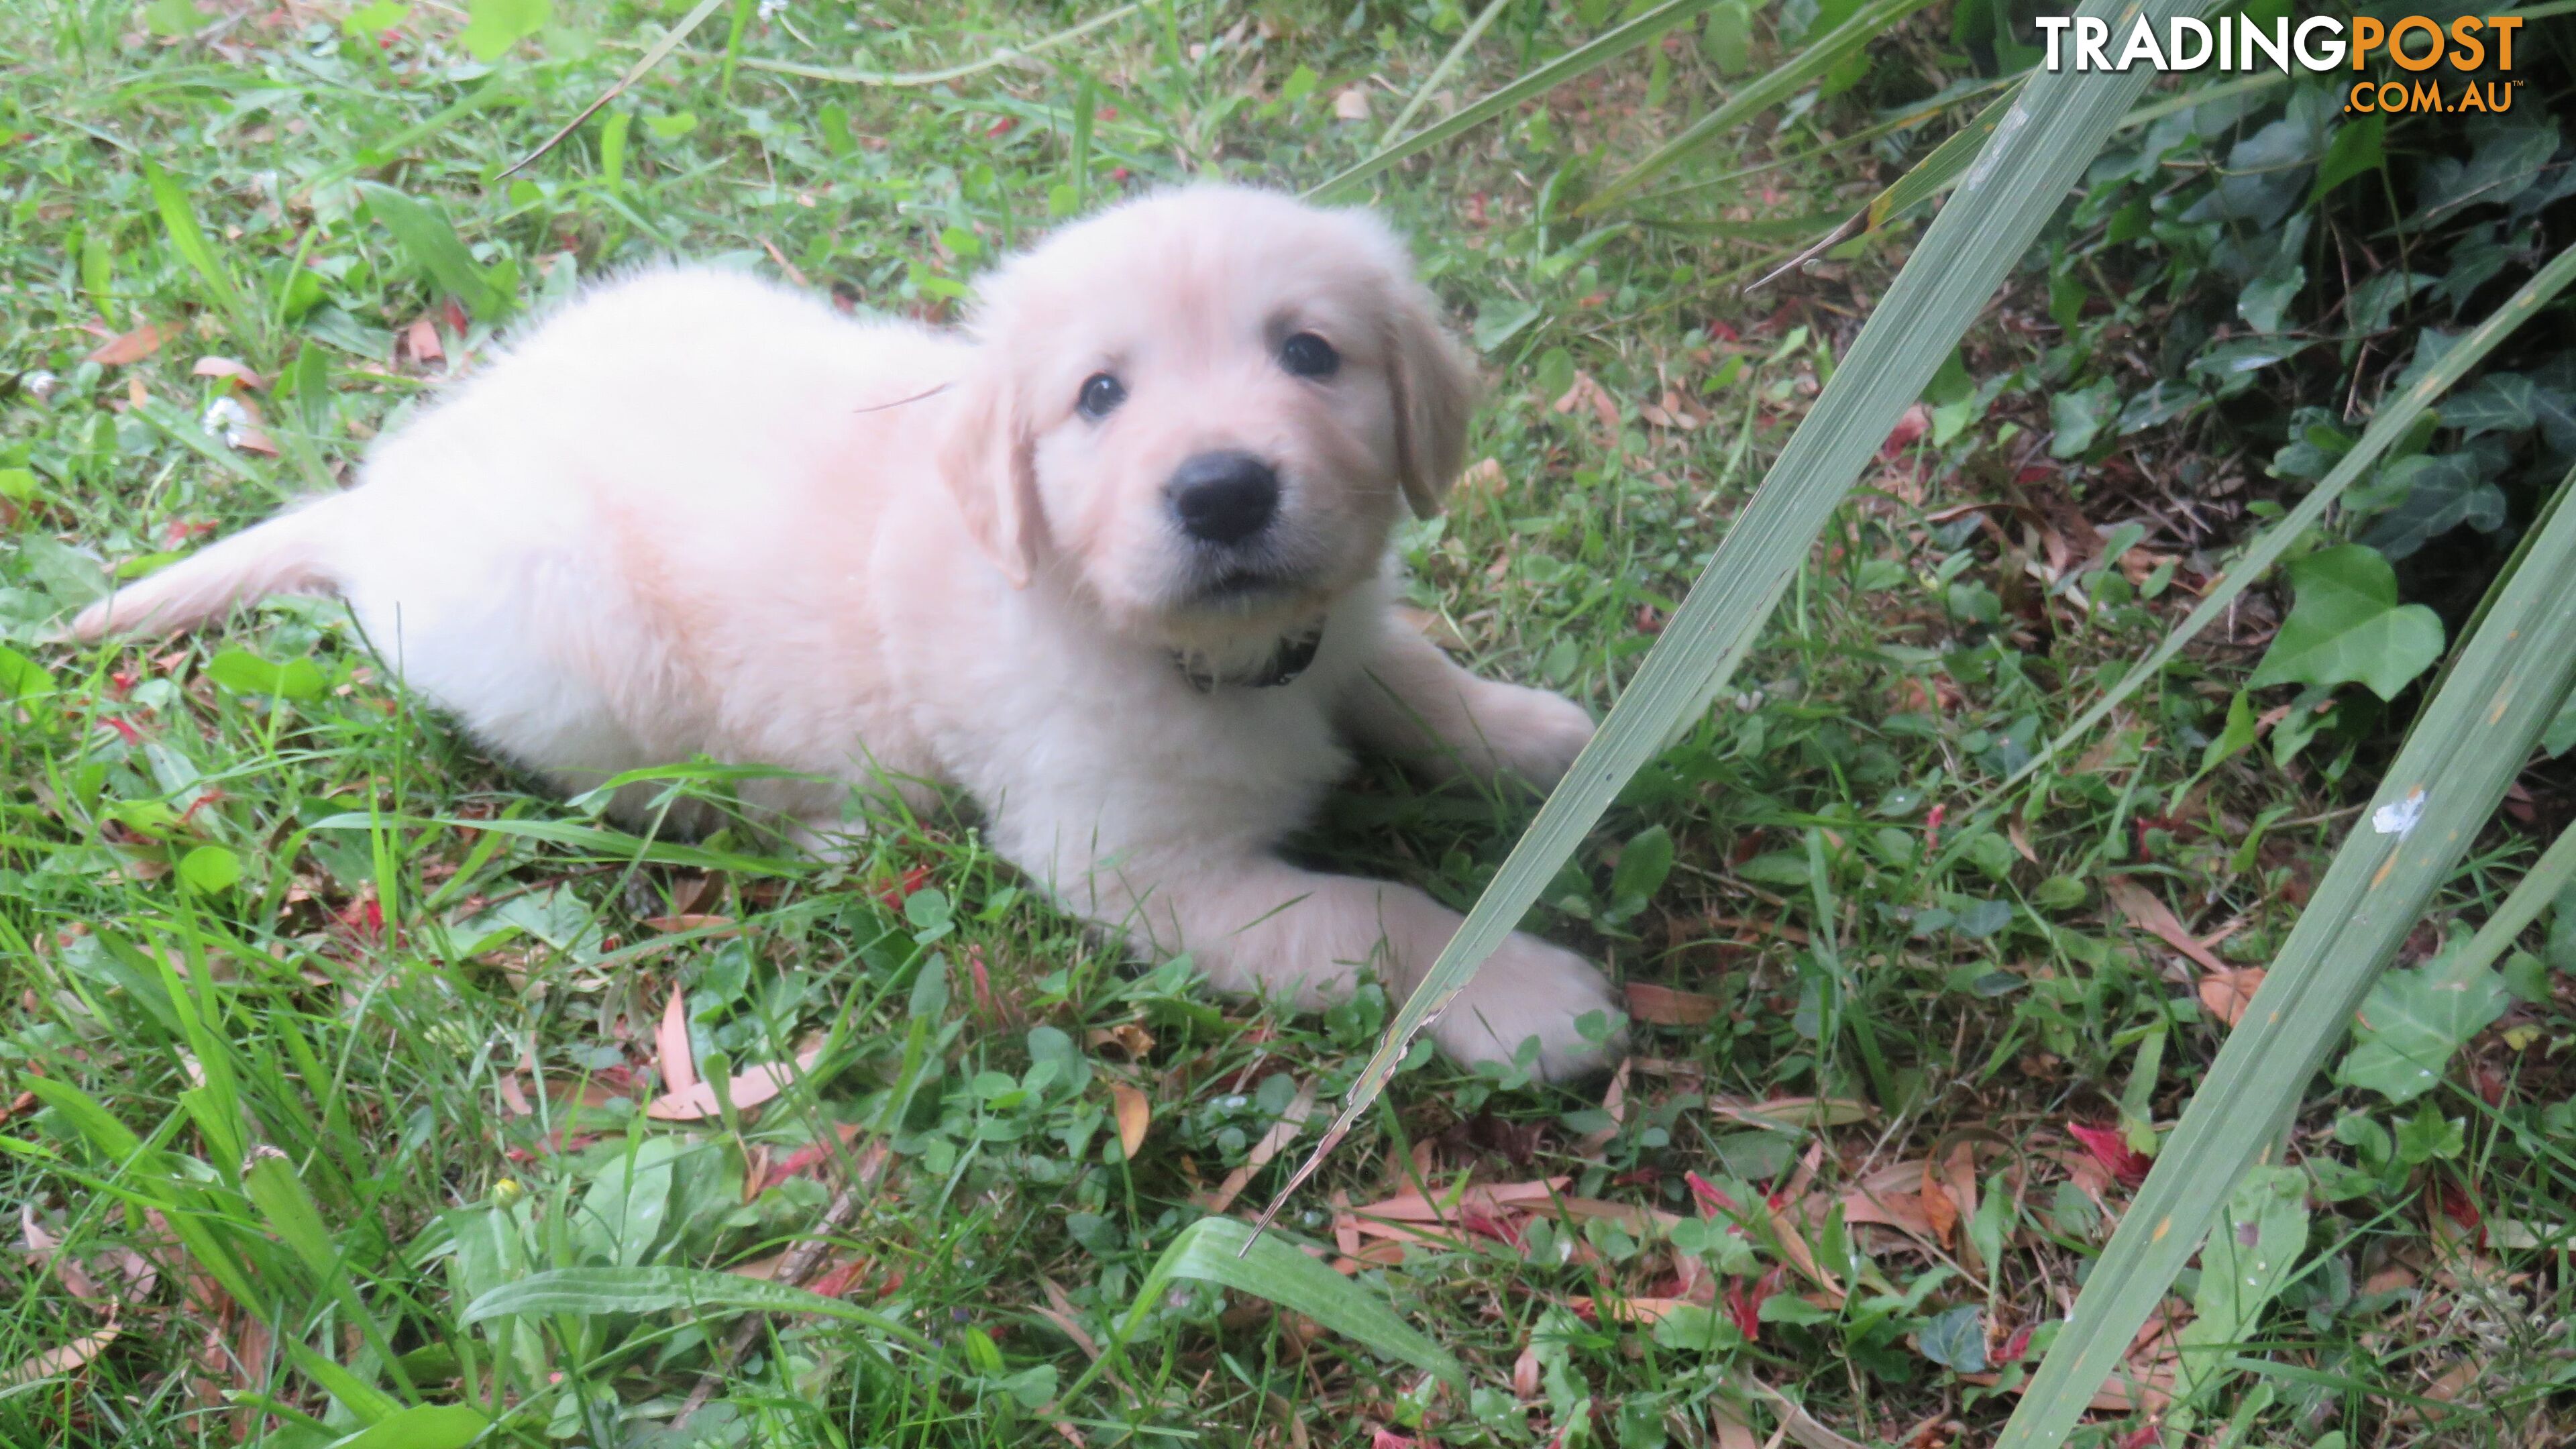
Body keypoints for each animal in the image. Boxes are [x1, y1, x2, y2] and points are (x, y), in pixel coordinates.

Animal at [70, 182, 1617, 1072]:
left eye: (1309, 352)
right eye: (1099, 396)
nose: (1225, 490)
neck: (1210, 657)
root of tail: (388, 497)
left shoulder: (1333, 628)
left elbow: (1408, 671)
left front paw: (1536, 740)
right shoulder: (1141, 868)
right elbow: (1373, 918)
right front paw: (1524, 995)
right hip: (579, 643)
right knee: (650, 787)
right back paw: (826, 825)